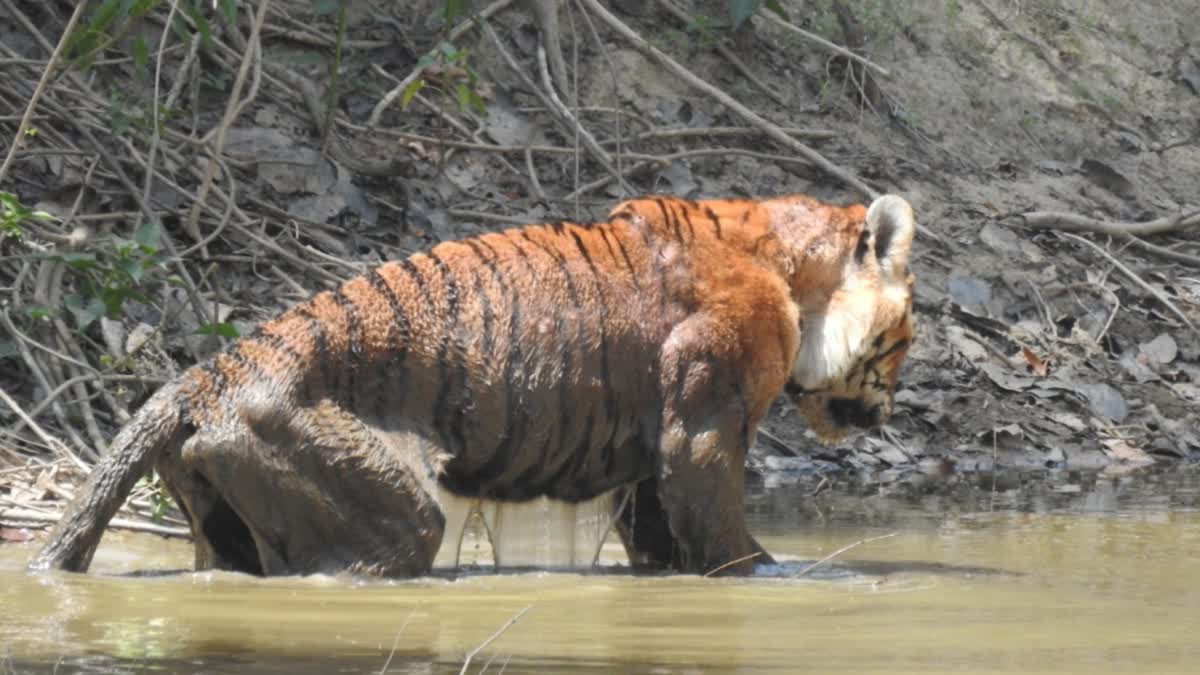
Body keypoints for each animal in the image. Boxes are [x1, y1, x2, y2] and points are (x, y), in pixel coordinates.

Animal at [28, 192, 916, 576]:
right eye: (907, 337)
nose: (883, 420)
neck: (795, 270)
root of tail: (198, 376)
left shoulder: (653, 452)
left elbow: (664, 532)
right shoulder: (704, 423)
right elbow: (723, 532)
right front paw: (784, 575)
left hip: (223, 518)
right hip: (377, 502)